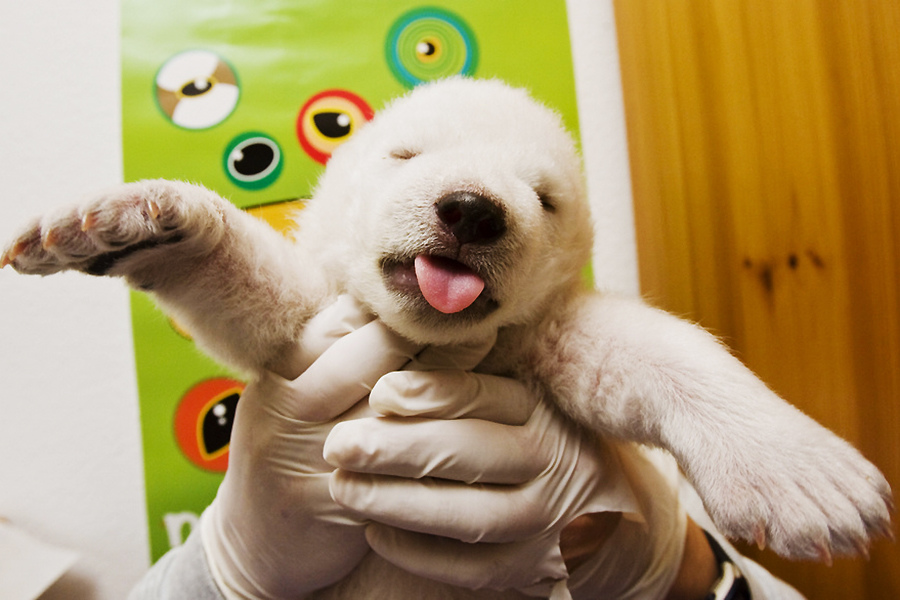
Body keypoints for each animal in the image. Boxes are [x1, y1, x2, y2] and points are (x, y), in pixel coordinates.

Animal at [3, 77, 892, 564]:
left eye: (543, 197)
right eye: (408, 155)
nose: (472, 209)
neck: (431, 346)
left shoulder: (534, 338)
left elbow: (645, 350)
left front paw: (814, 483)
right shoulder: (319, 321)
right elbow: (260, 297)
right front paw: (120, 221)